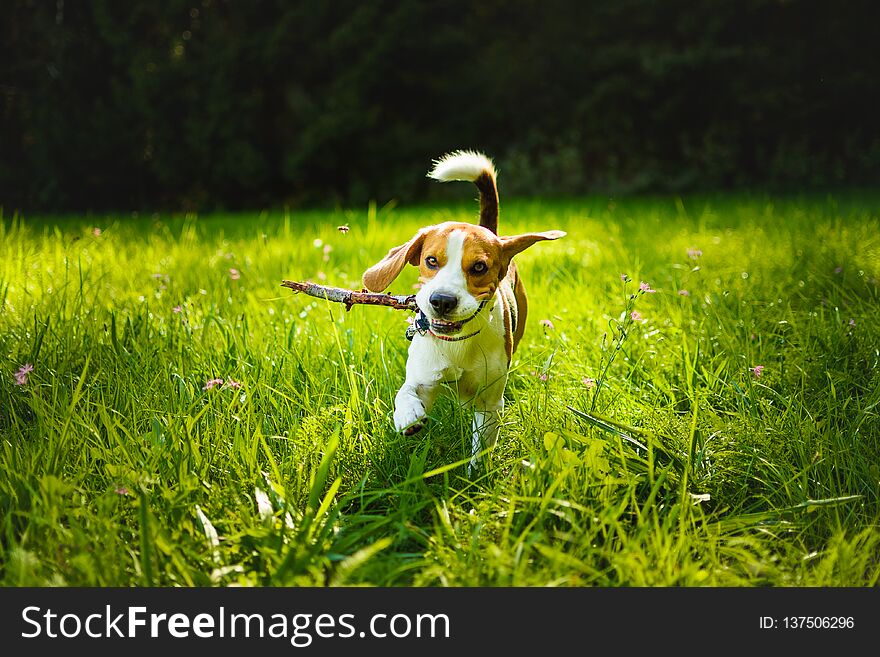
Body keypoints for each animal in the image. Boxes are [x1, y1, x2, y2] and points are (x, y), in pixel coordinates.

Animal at [362, 151, 564, 468]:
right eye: (431, 261)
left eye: (479, 267)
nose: (442, 301)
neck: (456, 343)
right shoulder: (423, 377)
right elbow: (406, 392)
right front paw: (407, 415)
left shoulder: (489, 403)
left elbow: (481, 448)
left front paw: (476, 476)